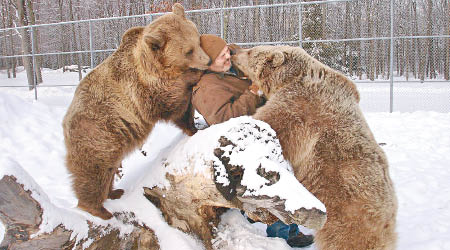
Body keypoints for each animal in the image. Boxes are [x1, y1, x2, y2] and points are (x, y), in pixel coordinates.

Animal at [62, 3, 211, 219]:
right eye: (188, 51)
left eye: (198, 39)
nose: (207, 61)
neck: (154, 66)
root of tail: (65, 123)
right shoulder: (142, 90)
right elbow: (171, 103)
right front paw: (195, 74)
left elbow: (184, 111)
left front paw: (194, 127)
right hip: (97, 133)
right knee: (94, 172)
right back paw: (99, 209)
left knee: (109, 169)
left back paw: (114, 192)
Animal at [232, 45, 398, 250]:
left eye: (250, 51)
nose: (233, 52)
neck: (290, 76)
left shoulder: (301, 104)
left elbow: (271, 122)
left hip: (348, 215)